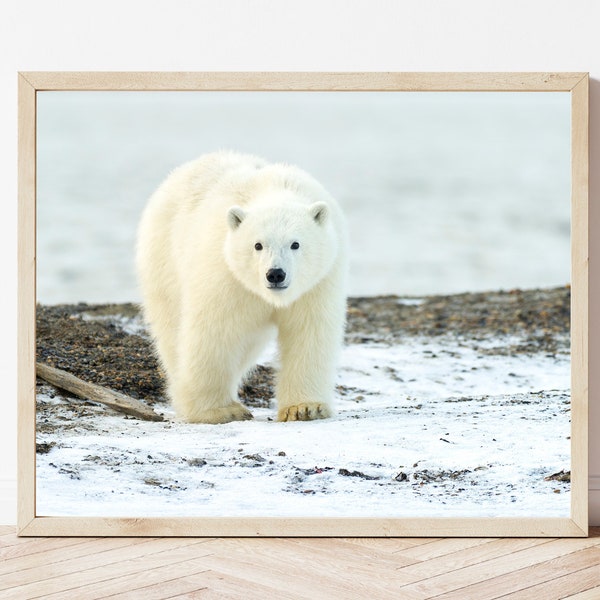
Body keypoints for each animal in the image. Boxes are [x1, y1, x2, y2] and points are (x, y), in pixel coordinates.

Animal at [134, 151, 344, 422]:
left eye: (295, 244)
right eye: (258, 245)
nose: (275, 274)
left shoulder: (319, 282)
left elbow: (309, 331)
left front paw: (305, 408)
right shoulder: (225, 274)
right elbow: (215, 332)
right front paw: (219, 410)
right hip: (164, 258)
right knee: (171, 329)